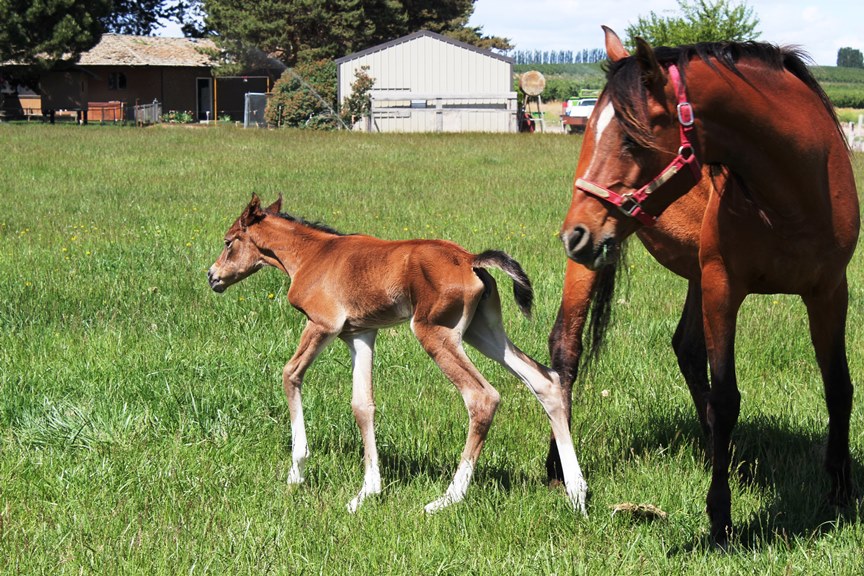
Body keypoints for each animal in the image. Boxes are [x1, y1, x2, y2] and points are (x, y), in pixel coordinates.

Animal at [208, 196, 588, 516]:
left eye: (228, 241)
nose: (213, 276)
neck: (313, 254)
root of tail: (471, 260)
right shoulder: (359, 334)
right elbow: (362, 405)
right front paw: (366, 493)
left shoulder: (322, 324)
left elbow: (290, 374)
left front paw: (297, 471)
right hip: (484, 331)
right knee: (545, 381)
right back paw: (577, 493)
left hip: (435, 332)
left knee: (482, 396)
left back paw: (448, 498)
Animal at [560, 27, 856, 548]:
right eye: (593, 130)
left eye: (632, 140)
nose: (574, 235)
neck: (794, 191)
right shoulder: (723, 287)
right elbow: (726, 396)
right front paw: (720, 518)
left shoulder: (829, 291)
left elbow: (837, 385)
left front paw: (841, 489)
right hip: (596, 264)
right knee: (565, 351)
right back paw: (561, 473)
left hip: (687, 273)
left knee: (686, 349)